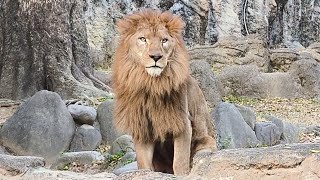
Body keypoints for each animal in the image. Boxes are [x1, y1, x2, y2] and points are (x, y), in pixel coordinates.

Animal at [112, 9, 218, 175]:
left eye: (164, 41)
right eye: (143, 39)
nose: (156, 57)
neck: (152, 84)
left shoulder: (182, 123)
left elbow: (180, 162)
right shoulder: (142, 126)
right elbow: (143, 164)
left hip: (207, 143)